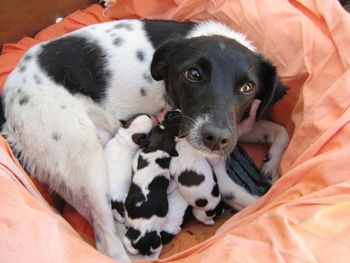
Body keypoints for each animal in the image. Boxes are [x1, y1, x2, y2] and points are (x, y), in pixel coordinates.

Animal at [123, 114, 179, 256]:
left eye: (153, 131)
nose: (160, 123)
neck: (159, 147)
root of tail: (146, 236)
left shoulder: (136, 163)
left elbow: (136, 159)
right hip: (157, 241)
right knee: (157, 248)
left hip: (130, 236)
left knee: (129, 246)